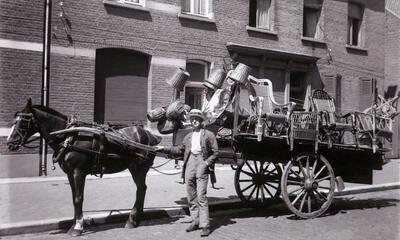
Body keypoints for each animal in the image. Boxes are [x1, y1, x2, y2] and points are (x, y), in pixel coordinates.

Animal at [6, 98, 161, 236]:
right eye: (14, 121)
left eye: (23, 122)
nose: (9, 143)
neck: (68, 136)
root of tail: (149, 135)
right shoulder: (70, 173)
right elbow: (74, 197)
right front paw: (74, 224)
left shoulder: (78, 172)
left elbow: (78, 198)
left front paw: (78, 227)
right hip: (133, 167)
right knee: (142, 189)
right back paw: (136, 219)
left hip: (140, 167)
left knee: (141, 189)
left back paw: (132, 220)